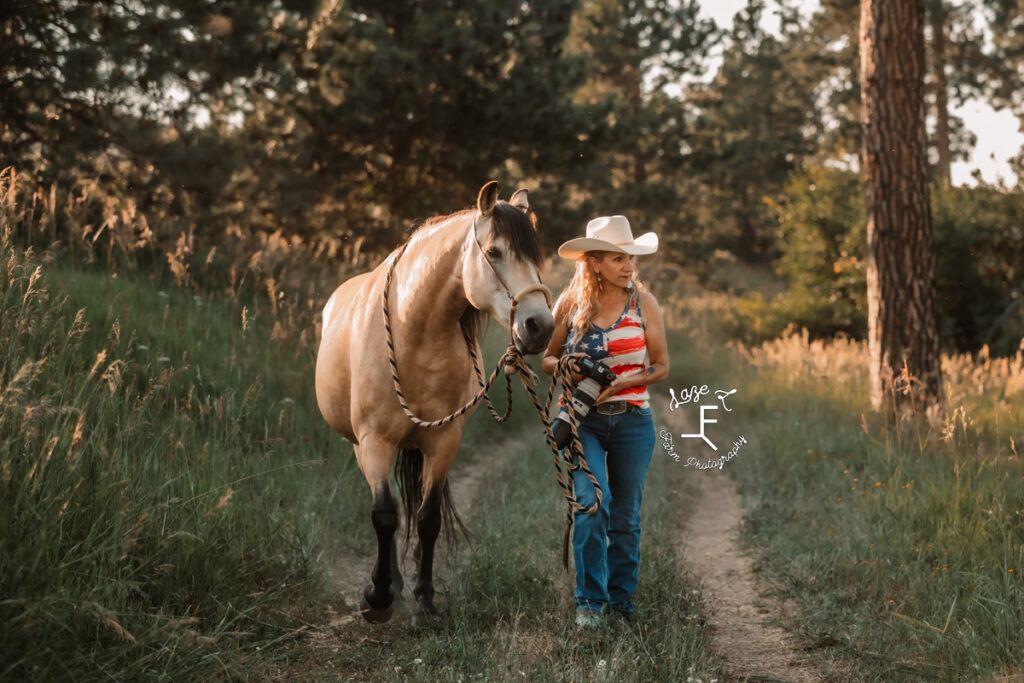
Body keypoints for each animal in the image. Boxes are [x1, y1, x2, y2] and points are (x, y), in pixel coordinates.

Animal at [313, 180, 552, 618]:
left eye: (535, 255)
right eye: (494, 252)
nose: (539, 326)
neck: (414, 334)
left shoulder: (444, 442)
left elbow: (427, 519)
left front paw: (424, 598)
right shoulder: (374, 441)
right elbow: (384, 515)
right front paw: (377, 596)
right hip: (362, 446)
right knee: (386, 508)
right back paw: (389, 582)